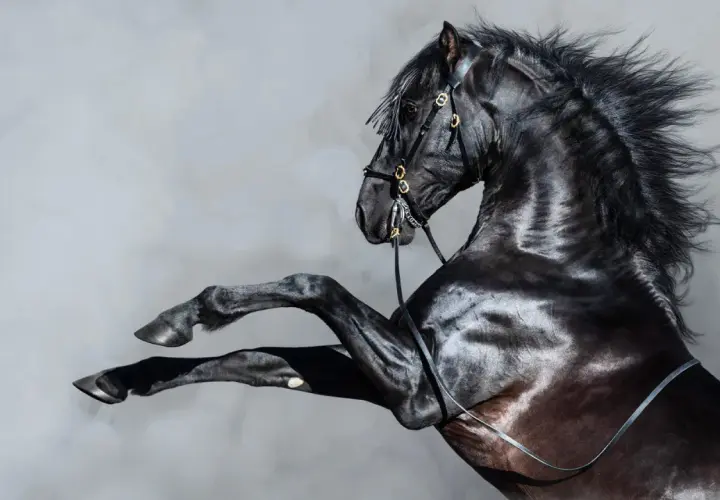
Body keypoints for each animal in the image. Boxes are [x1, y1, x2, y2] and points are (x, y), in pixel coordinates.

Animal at [72, 19, 720, 499]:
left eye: (410, 108)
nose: (369, 208)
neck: (551, 267)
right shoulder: (394, 367)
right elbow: (258, 361)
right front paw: (117, 377)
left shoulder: (419, 391)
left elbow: (311, 286)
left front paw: (188, 316)